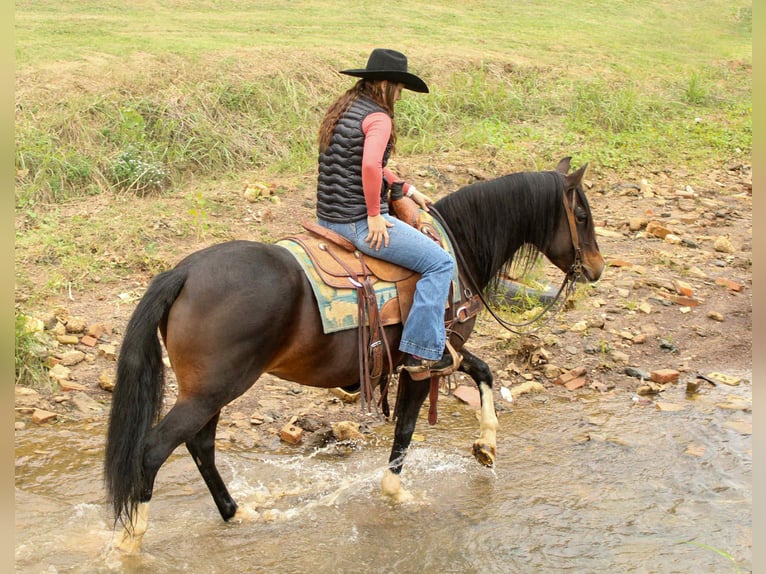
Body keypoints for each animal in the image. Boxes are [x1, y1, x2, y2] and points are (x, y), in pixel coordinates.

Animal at [104, 157, 604, 553]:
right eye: (581, 214)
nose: (597, 269)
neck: (456, 251)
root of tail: (184, 271)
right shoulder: (423, 365)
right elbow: (406, 430)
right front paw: (398, 495)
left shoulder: (446, 350)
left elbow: (484, 372)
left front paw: (486, 446)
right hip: (212, 389)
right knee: (154, 451)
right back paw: (132, 541)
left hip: (210, 390)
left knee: (201, 446)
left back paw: (235, 513)